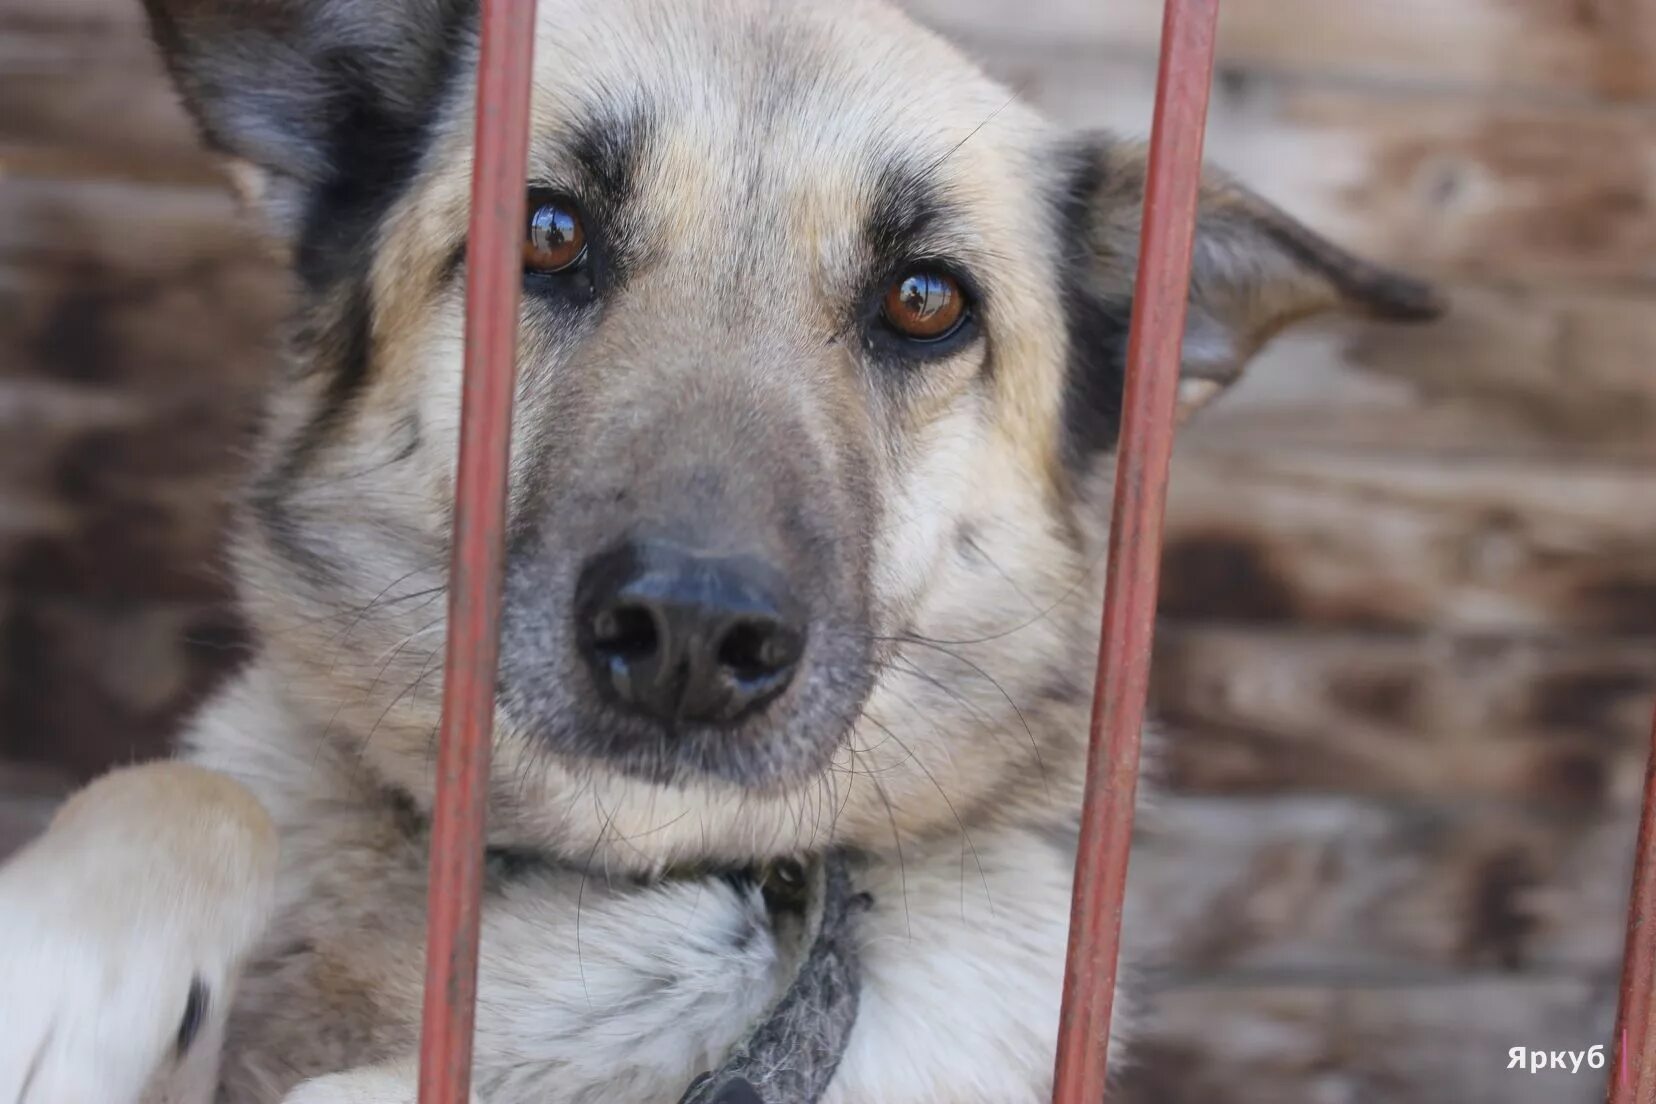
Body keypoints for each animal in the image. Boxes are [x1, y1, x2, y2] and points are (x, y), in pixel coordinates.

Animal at [0, 0, 1444, 1099]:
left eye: (928, 301)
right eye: (548, 232)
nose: (690, 636)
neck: (628, 885)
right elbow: (189, 791)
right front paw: (60, 969)